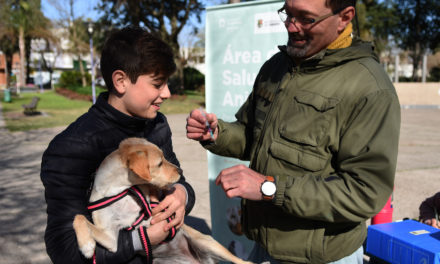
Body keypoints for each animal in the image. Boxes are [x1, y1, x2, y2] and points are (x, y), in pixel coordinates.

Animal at [73, 137, 251, 262]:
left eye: (164, 158)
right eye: (159, 163)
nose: (181, 171)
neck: (122, 190)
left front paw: (86, 246)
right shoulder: (111, 239)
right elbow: (79, 217)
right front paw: (87, 245)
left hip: (208, 243)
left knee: (245, 262)